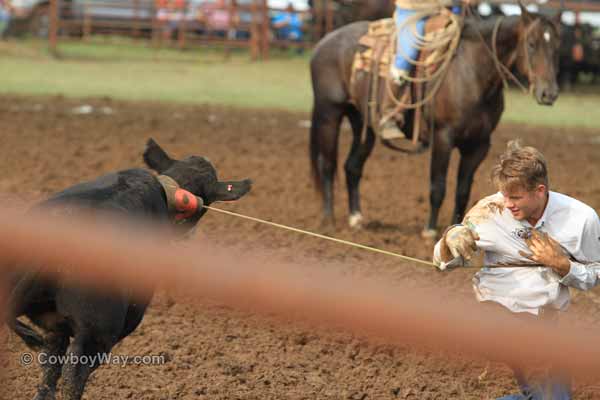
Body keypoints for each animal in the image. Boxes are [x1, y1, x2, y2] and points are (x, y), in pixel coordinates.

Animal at [310, 6, 564, 236]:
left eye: (556, 47)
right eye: (531, 44)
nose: (549, 94)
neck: (472, 72)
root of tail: (324, 42)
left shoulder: (478, 145)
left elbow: (462, 191)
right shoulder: (443, 136)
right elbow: (438, 186)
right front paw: (429, 231)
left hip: (363, 123)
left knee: (352, 166)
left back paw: (356, 219)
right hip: (329, 114)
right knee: (327, 164)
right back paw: (328, 220)